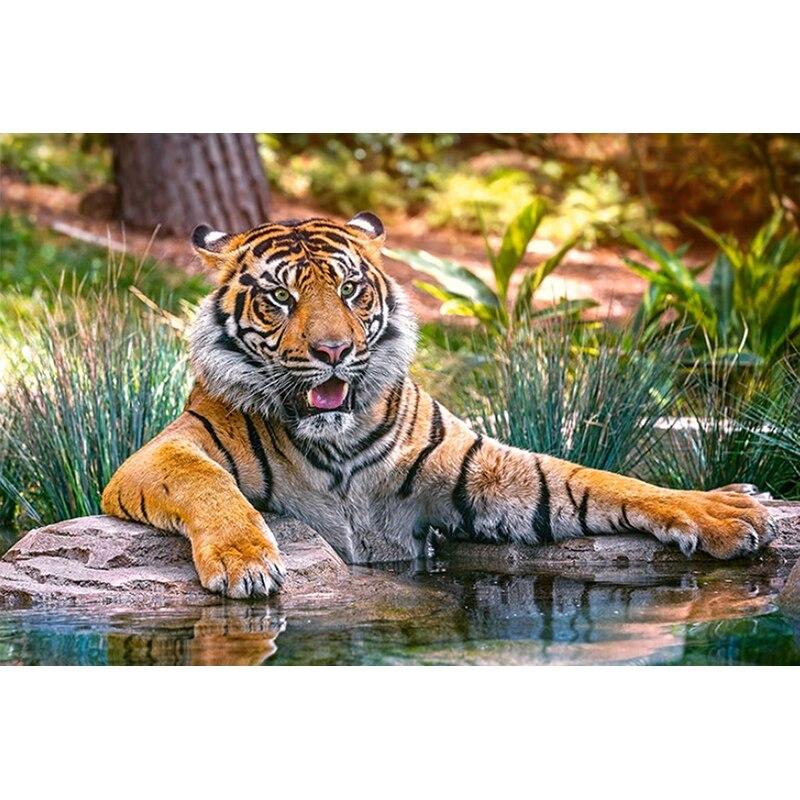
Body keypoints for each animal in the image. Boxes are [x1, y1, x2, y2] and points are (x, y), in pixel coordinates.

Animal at [101, 211, 777, 598]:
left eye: (350, 288)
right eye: (280, 297)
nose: (333, 350)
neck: (335, 441)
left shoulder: (482, 472)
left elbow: (599, 480)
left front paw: (726, 509)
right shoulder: (161, 451)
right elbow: (205, 481)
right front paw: (246, 562)